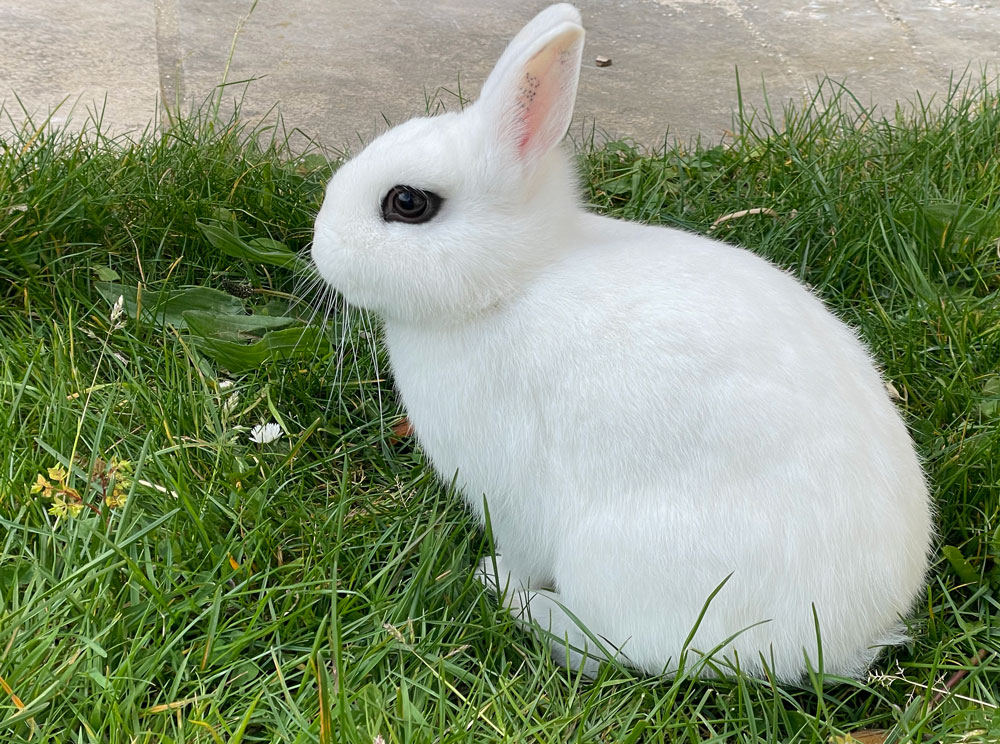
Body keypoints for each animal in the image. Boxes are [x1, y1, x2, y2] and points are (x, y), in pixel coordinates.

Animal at [311, 3, 933, 682]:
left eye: (407, 202)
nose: (319, 246)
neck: (513, 281)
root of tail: (848, 636)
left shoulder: (509, 493)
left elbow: (522, 550)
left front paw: (496, 574)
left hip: (617, 559)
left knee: (617, 648)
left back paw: (519, 604)